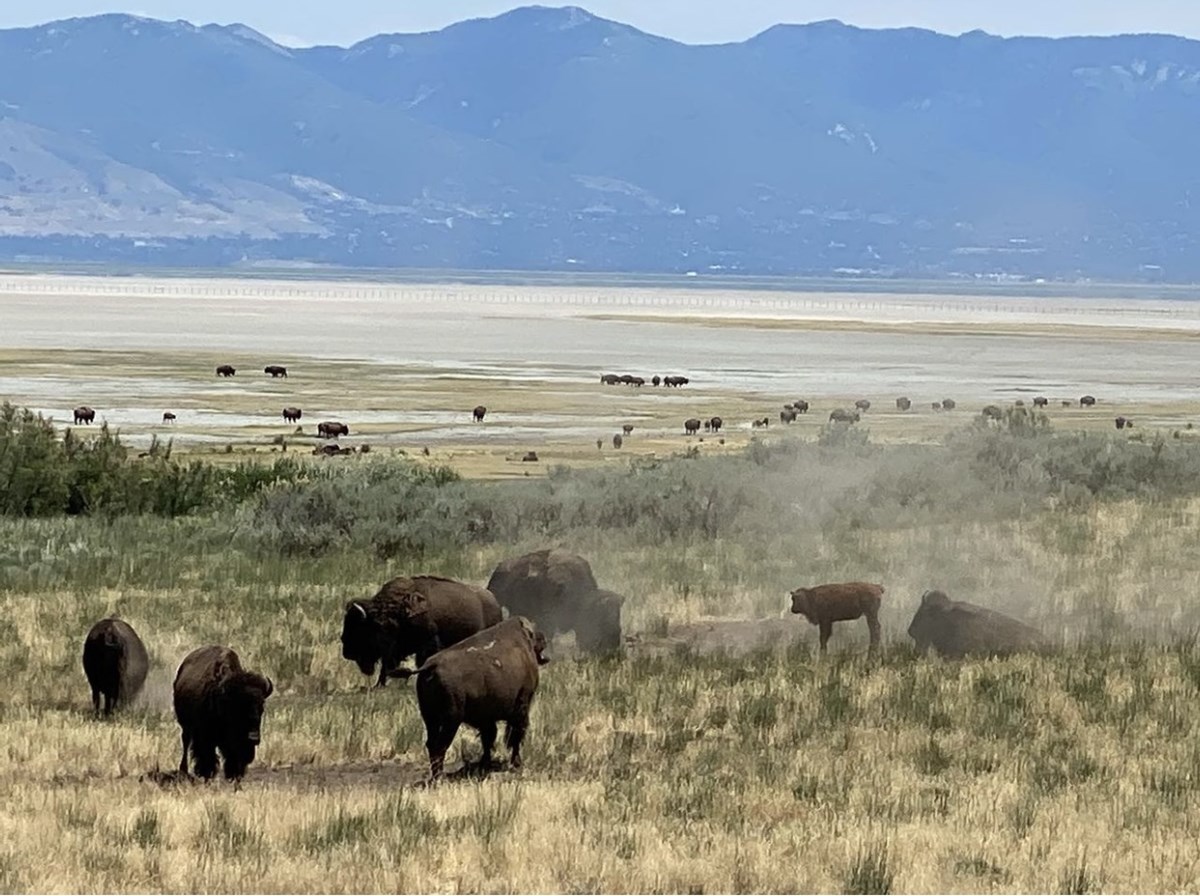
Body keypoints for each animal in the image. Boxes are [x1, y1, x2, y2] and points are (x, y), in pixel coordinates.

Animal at [172, 642, 273, 786]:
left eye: (261, 707)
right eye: (238, 707)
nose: (253, 738)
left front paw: (235, 778)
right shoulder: (205, 736)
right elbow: (207, 757)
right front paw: (207, 777)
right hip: (186, 727)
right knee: (186, 743)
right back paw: (184, 772)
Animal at [343, 575, 501, 686]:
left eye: (360, 630)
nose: (346, 653)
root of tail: (494, 601)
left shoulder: (427, 644)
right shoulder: (394, 650)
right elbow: (386, 666)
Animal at [415, 618, 549, 782]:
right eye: (534, 636)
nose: (543, 637)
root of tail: (430, 666)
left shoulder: (487, 719)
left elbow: (488, 739)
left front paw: (485, 764)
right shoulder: (521, 706)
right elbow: (514, 736)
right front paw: (516, 763)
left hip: (430, 718)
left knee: (431, 744)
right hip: (451, 721)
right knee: (440, 745)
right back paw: (439, 777)